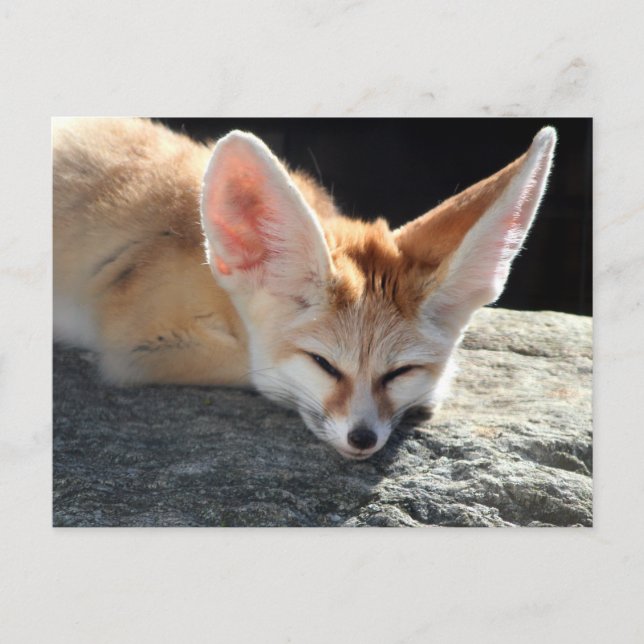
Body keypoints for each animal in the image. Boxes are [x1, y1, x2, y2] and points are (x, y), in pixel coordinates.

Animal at [53, 118, 556, 460]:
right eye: (323, 364)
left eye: (400, 372)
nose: (362, 438)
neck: (207, 266)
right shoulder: (134, 346)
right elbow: (261, 371)